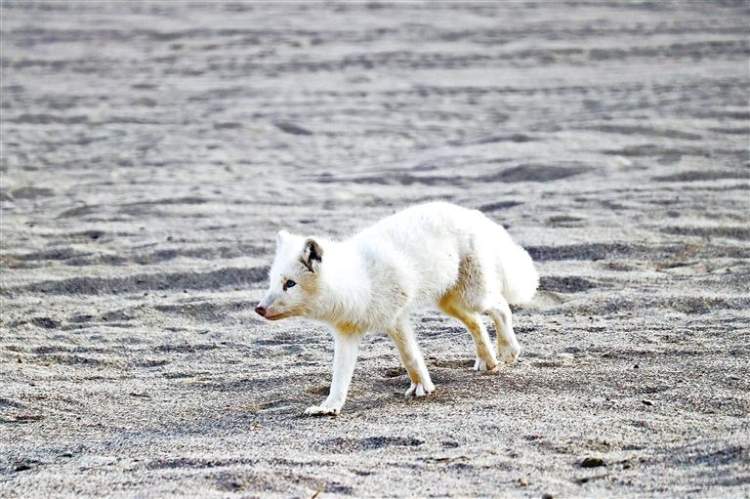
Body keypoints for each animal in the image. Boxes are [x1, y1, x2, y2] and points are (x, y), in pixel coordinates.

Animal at [256, 201, 536, 416]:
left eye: (290, 284)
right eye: (272, 282)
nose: (259, 308)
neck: (359, 281)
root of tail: (470, 213)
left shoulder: (396, 319)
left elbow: (410, 356)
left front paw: (423, 387)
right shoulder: (347, 333)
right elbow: (339, 377)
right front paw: (330, 406)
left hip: (471, 296)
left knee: (501, 307)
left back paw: (508, 350)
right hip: (449, 302)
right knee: (477, 322)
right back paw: (488, 360)